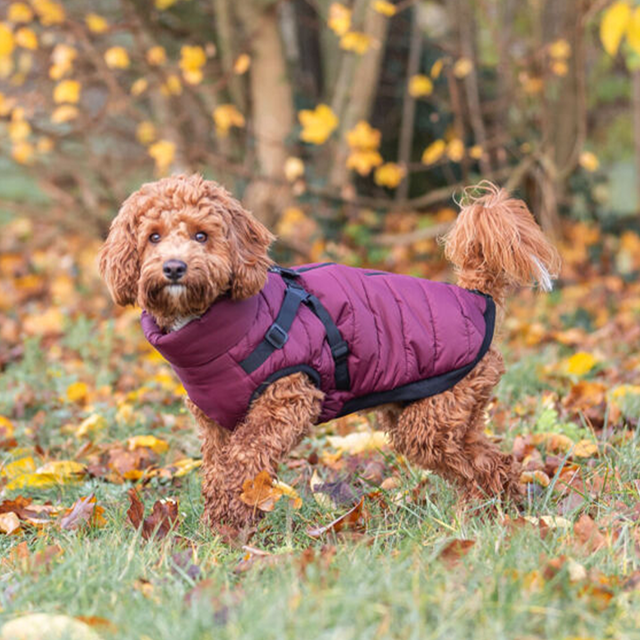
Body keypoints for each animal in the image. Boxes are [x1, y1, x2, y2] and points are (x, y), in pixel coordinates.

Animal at [99, 172, 560, 528]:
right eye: (153, 237)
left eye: (202, 236)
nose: (174, 267)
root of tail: (474, 294)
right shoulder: (214, 423)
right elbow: (216, 469)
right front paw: (223, 524)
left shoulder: (286, 398)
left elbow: (242, 460)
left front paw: (233, 518)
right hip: (444, 413)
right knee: (492, 460)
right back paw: (492, 510)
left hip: (433, 419)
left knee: (483, 464)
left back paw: (489, 515)